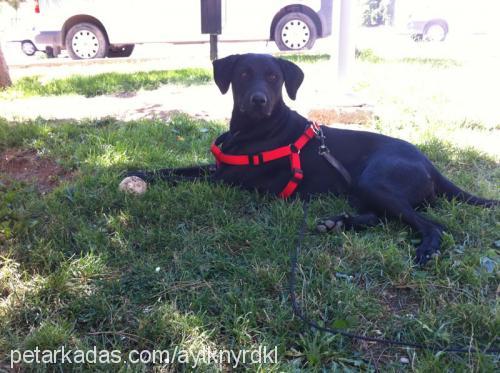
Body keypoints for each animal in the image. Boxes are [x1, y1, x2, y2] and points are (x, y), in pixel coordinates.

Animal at [131, 53, 498, 264]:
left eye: (275, 77)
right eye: (244, 74)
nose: (259, 100)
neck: (251, 129)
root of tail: (430, 164)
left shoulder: (229, 180)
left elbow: (186, 176)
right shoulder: (220, 166)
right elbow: (181, 168)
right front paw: (142, 172)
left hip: (376, 181)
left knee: (432, 224)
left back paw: (427, 249)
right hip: (362, 189)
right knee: (379, 217)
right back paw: (338, 222)